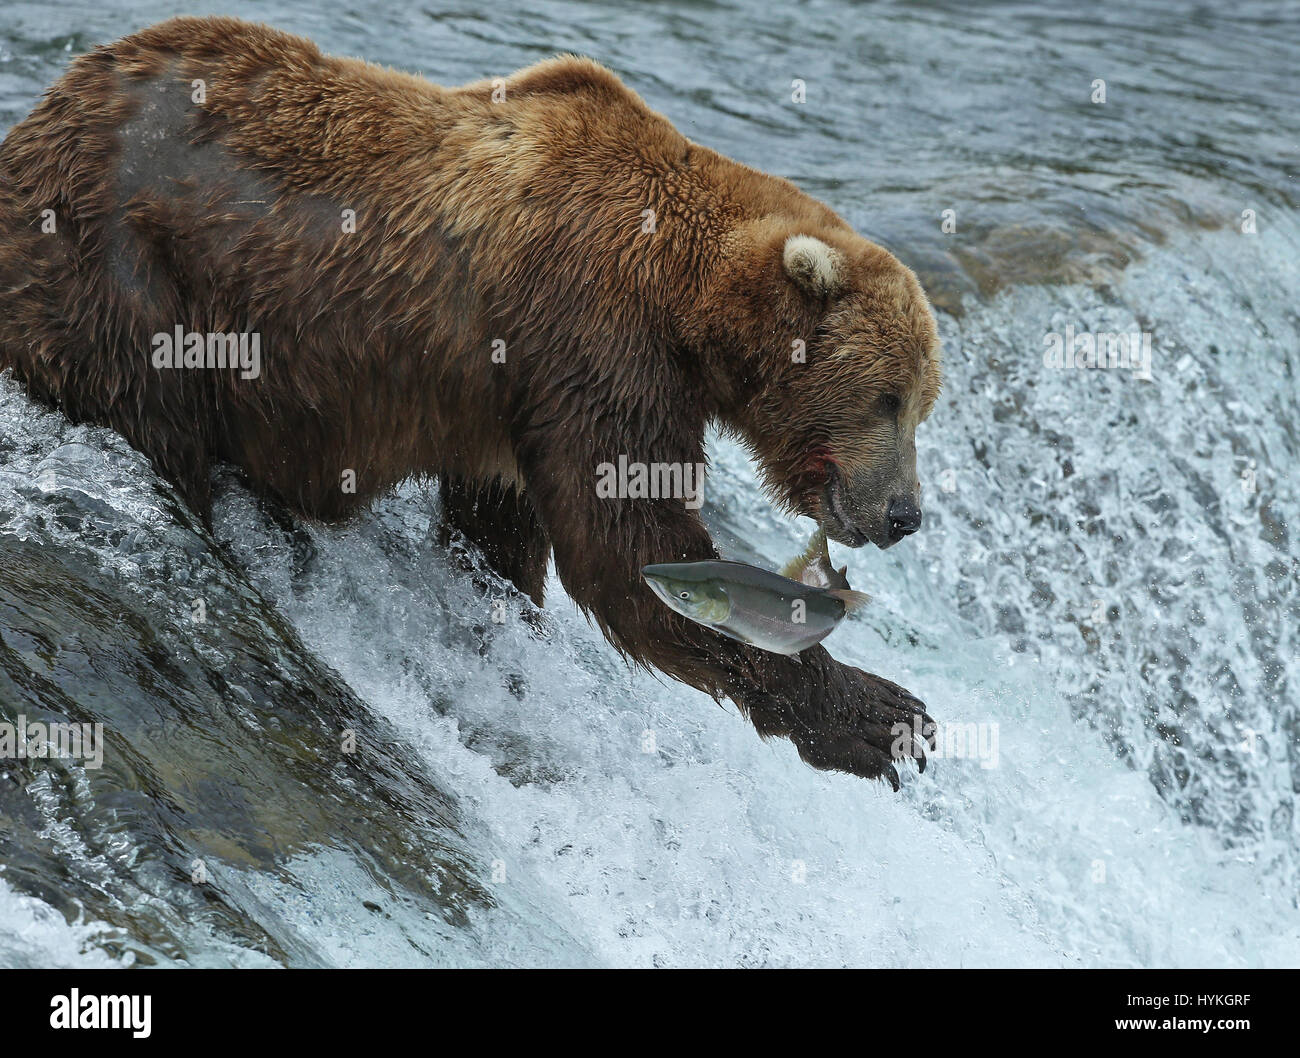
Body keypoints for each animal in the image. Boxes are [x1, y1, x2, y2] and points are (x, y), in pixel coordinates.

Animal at [0, 16, 941, 787]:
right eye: (887, 397)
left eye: (922, 404)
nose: (904, 513)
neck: (685, 297)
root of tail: (45, 111)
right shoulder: (589, 337)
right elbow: (627, 550)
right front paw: (884, 716)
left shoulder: (511, 400)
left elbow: (503, 530)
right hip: (126, 274)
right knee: (156, 420)